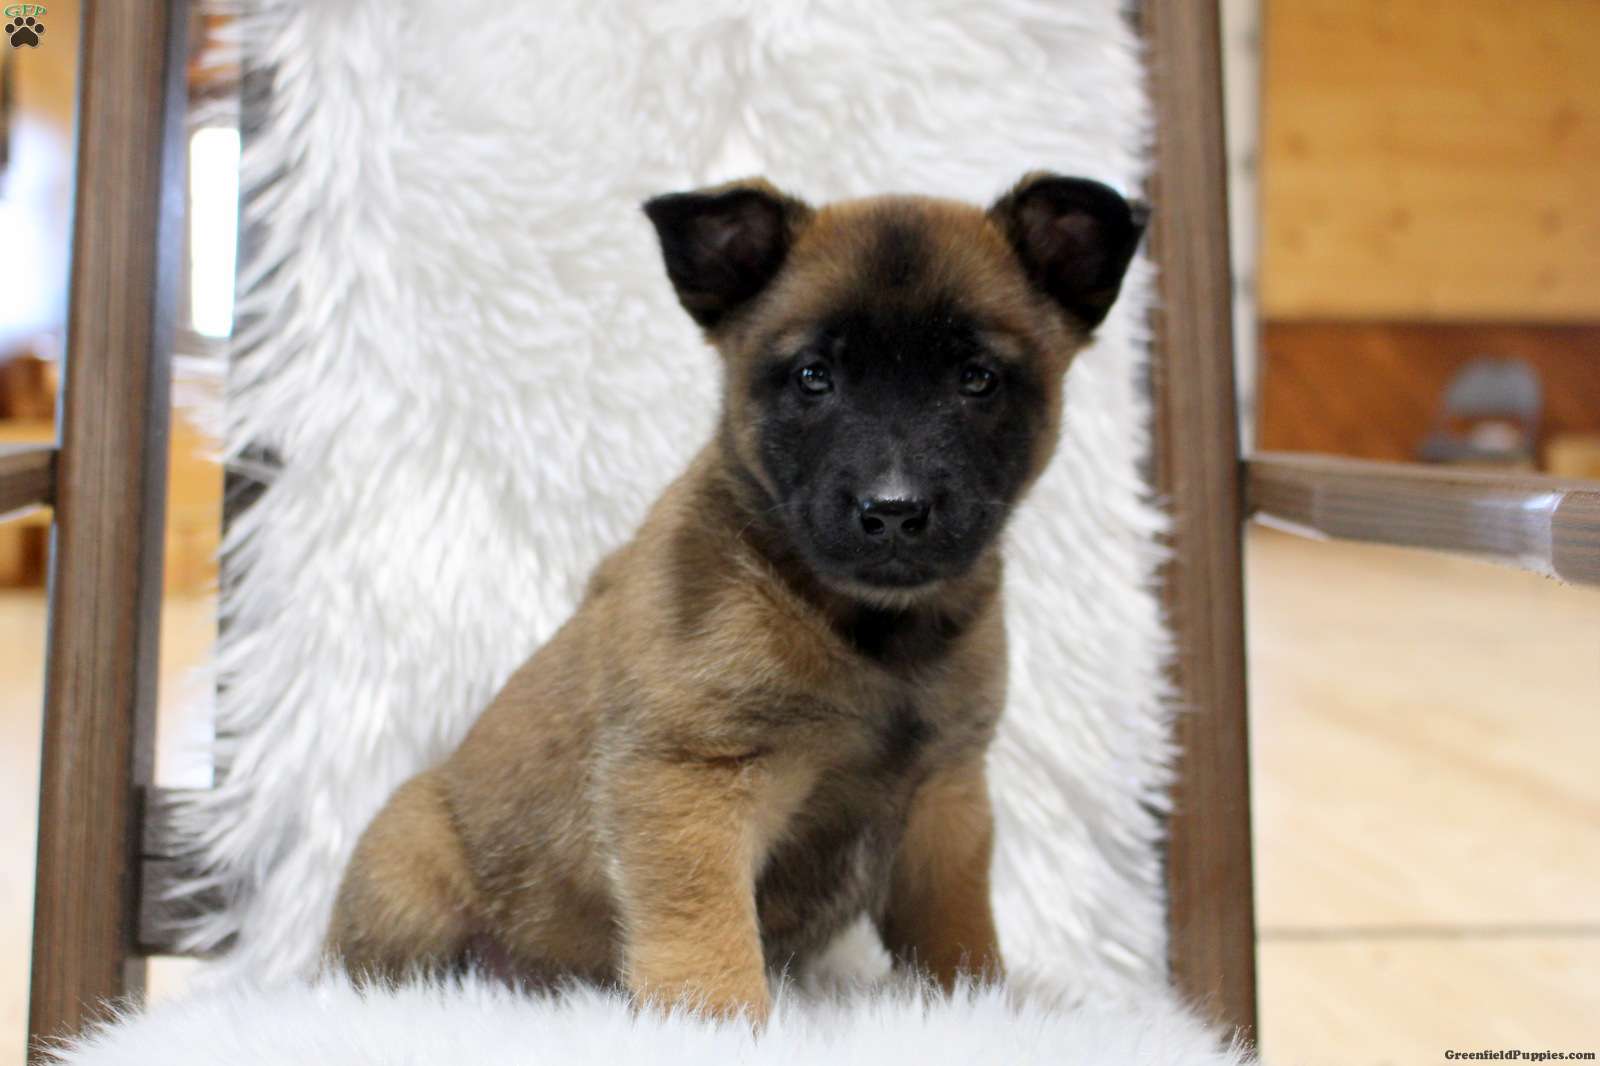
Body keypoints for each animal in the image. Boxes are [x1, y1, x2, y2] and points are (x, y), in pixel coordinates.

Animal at [325, 172, 1147, 1022]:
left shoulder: (945, 799)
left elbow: (958, 931)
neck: (865, 631)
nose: (893, 510)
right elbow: (702, 926)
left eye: (976, 378)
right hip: (409, 868)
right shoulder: (693, 775)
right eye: (814, 377)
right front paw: (715, 1023)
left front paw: (977, 1007)